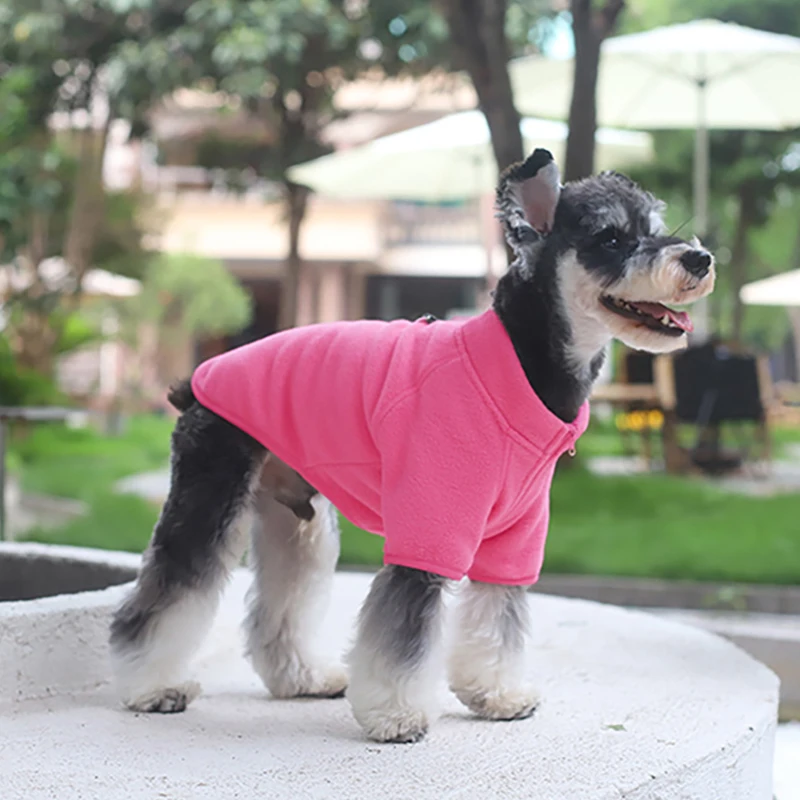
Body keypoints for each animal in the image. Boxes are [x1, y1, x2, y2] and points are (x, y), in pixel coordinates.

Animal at [109, 148, 714, 743]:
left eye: (654, 229)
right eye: (610, 238)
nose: (700, 259)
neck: (522, 363)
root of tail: (198, 380)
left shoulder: (515, 539)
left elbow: (497, 615)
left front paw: (497, 695)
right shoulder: (429, 528)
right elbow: (405, 629)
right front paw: (396, 716)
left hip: (299, 524)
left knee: (281, 604)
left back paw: (302, 678)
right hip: (212, 495)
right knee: (167, 592)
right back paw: (151, 687)